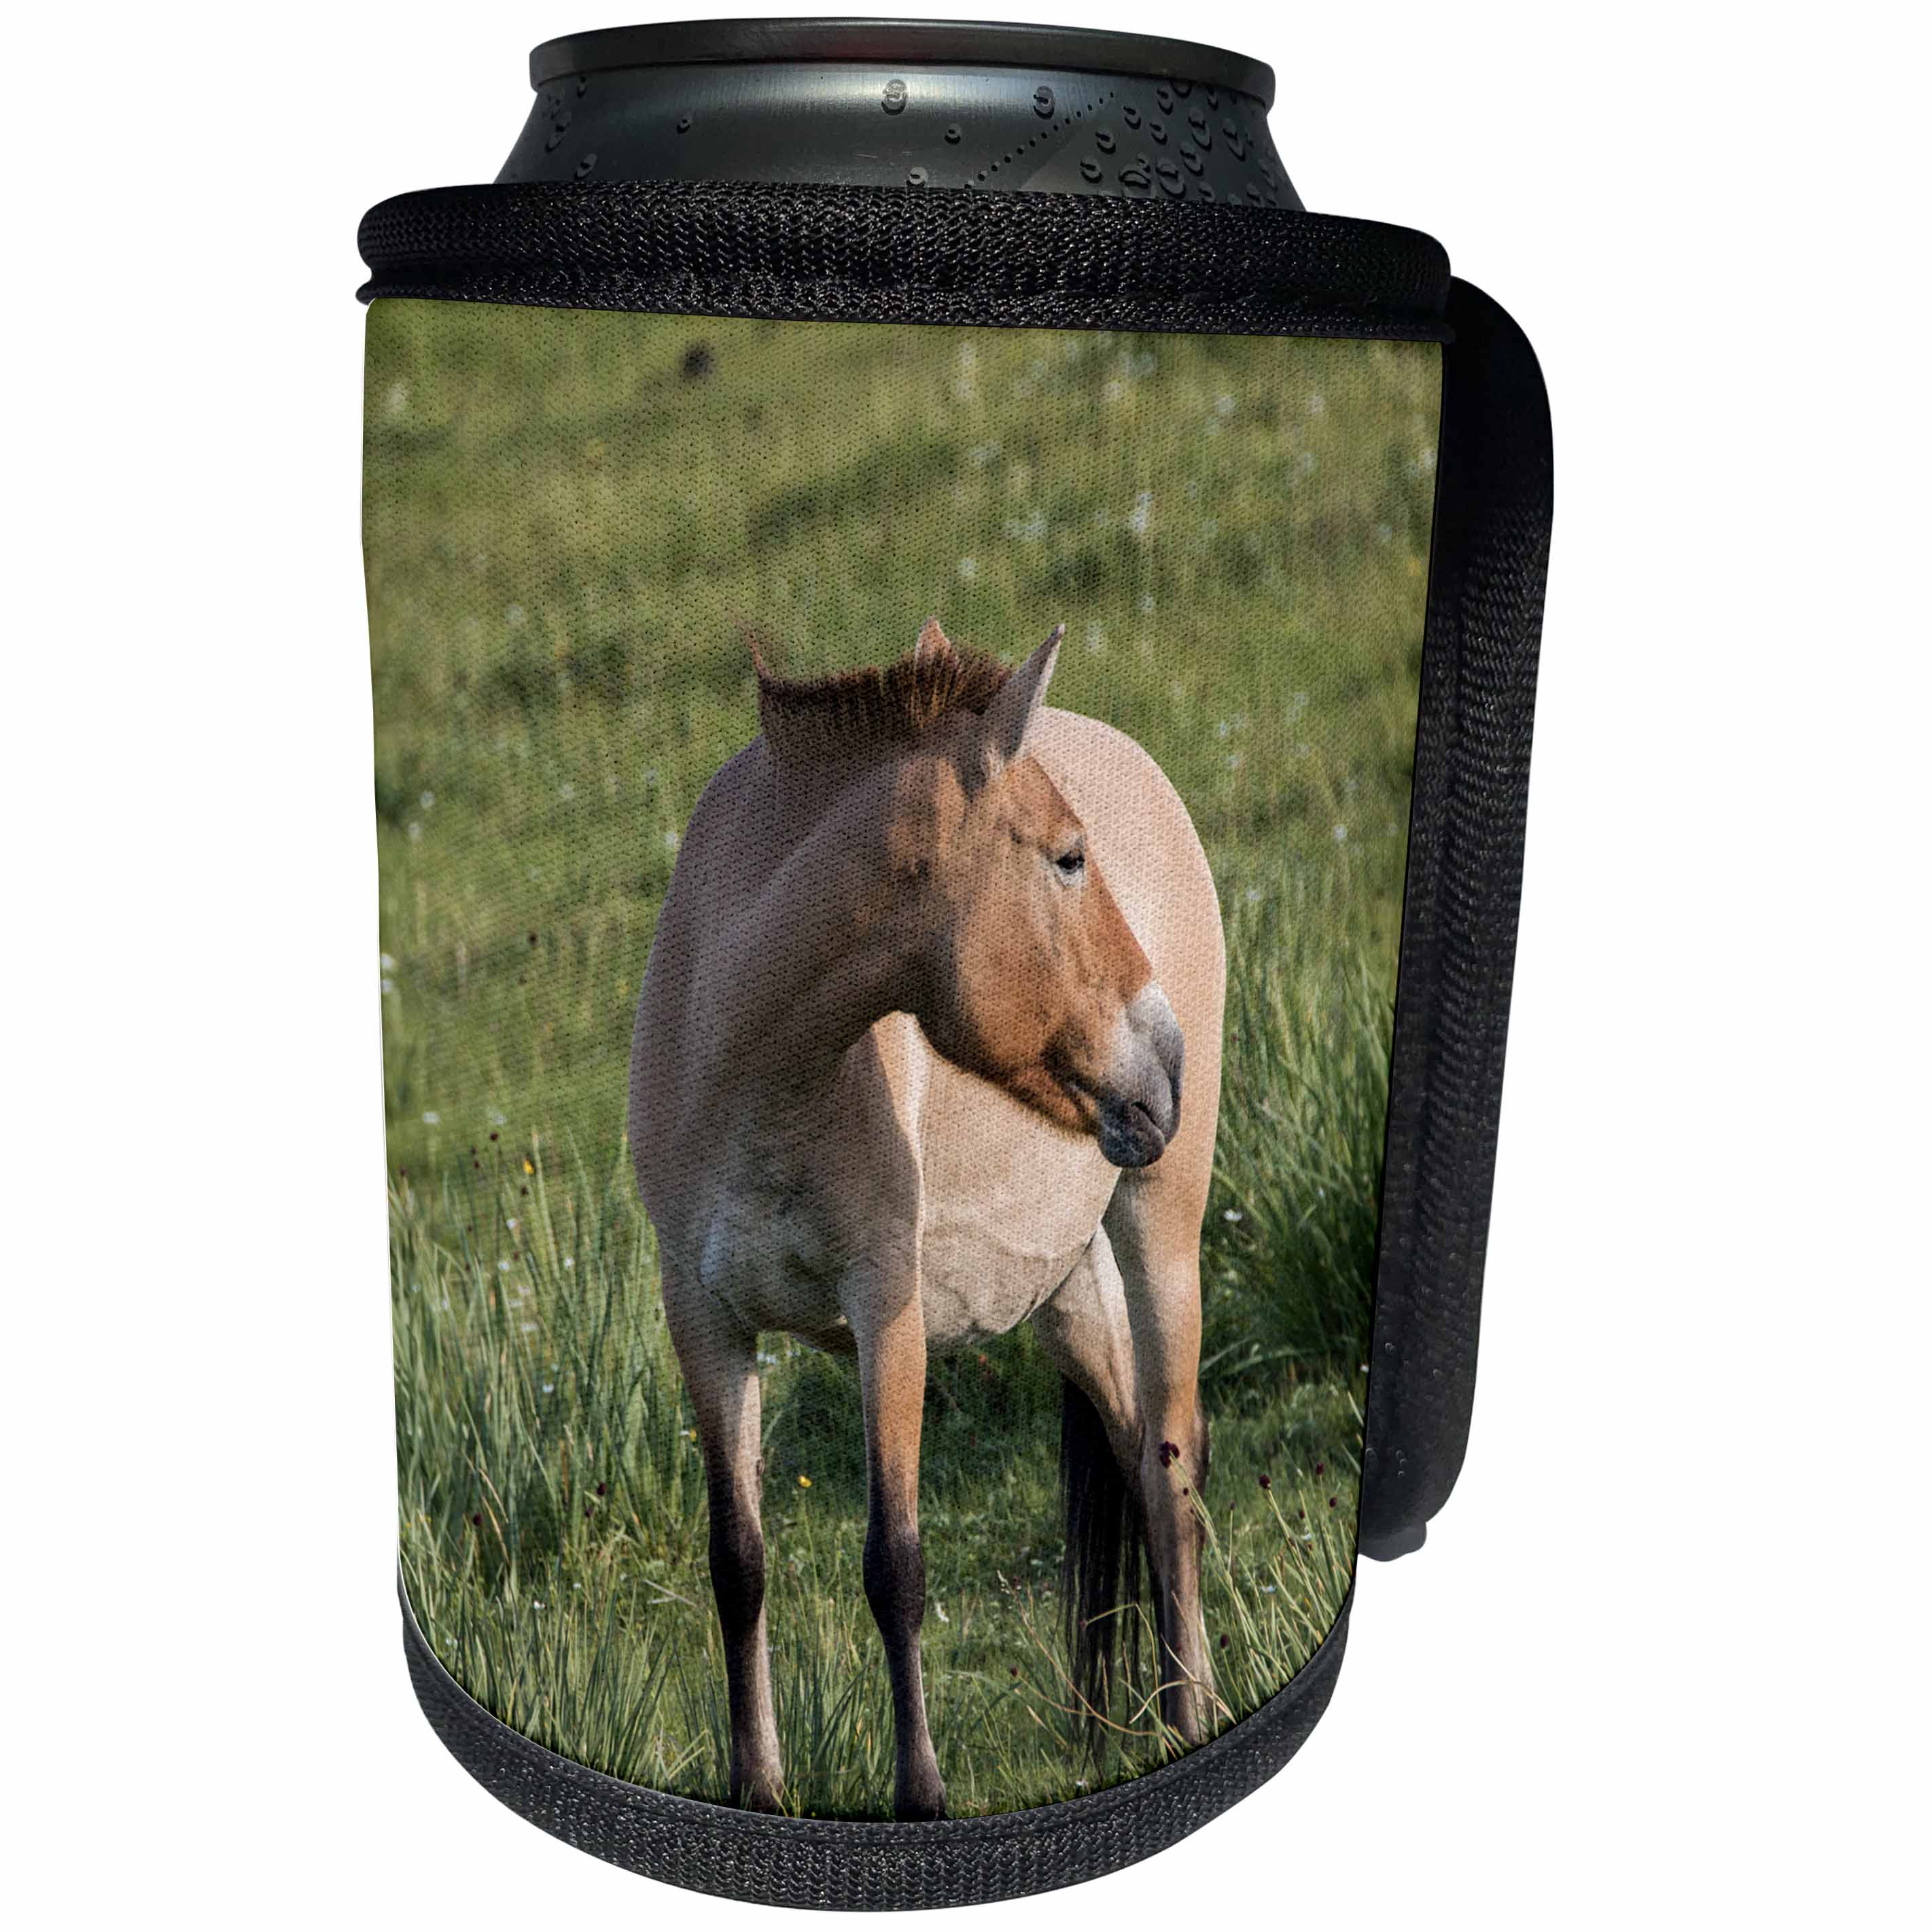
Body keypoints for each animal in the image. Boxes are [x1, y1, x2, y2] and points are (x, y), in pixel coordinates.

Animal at [628, 617, 1226, 1819]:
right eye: (1066, 857)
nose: (1167, 1060)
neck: (753, 1070)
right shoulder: (703, 1320)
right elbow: (736, 1560)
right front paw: (756, 1787)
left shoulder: (884, 1311)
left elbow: (893, 1562)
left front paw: (920, 1795)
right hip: (1066, 1289)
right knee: (1135, 1455)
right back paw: (1138, 1723)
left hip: (1159, 1229)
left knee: (1173, 1468)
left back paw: (1190, 1717)